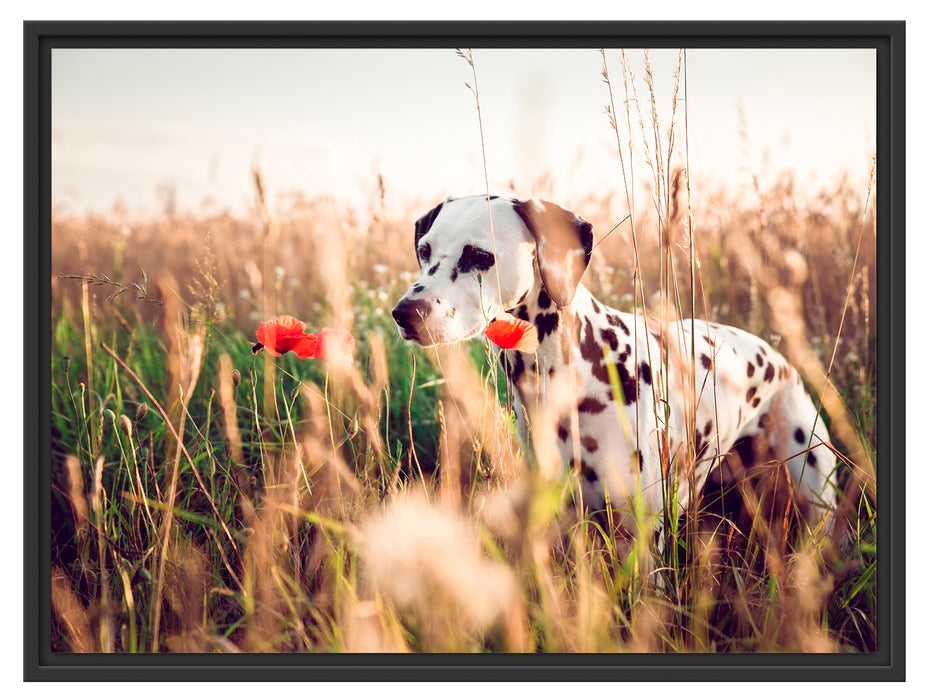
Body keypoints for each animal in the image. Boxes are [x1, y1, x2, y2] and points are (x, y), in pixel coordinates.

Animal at [390, 196, 840, 540]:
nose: (405, 313)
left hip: (817, 493)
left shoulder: (637, 534)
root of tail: (779, 358)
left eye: (479, 256)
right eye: (425, 250)